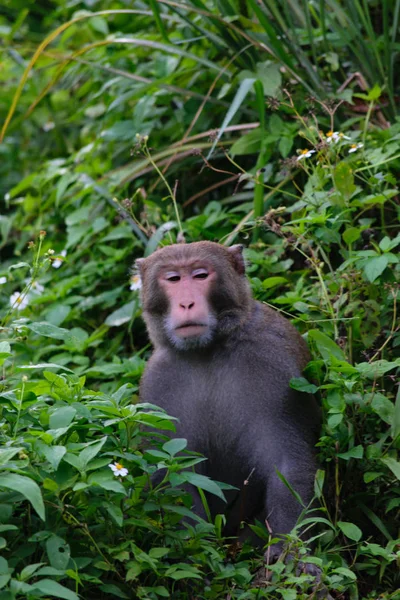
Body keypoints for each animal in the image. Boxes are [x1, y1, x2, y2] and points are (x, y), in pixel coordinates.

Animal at [137, 240, 322, 568]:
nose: (186, 304)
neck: (208, 350)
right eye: (173, 279)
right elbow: (174, 473)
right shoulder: (158, 384)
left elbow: (286, 462)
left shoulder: (274, 361)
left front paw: (290, 554)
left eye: (200, 275)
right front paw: (197, 554)